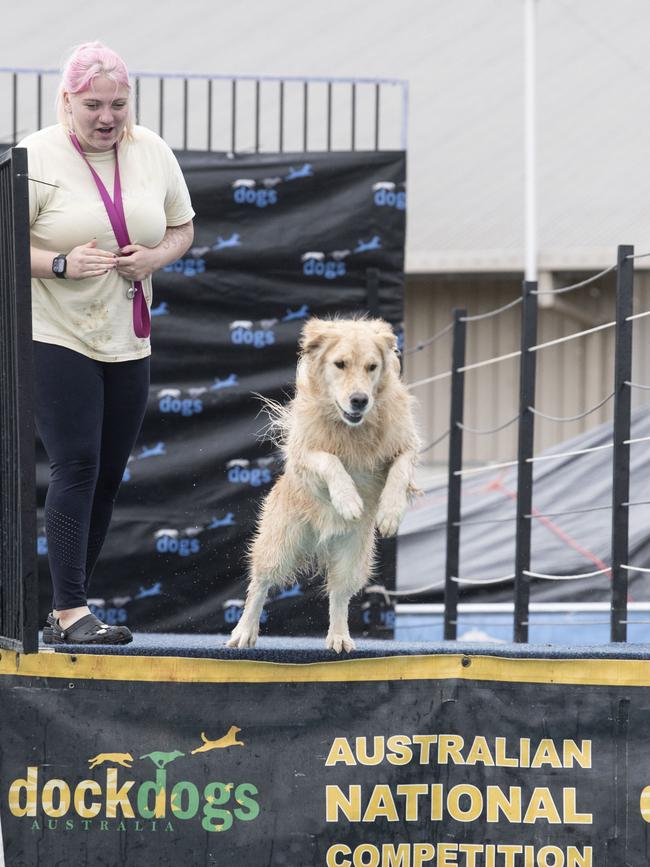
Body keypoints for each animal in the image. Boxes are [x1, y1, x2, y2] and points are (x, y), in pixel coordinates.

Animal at [228, 318, 420, 652]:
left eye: (372, 367)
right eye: (340, 364)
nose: (360, 400)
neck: (352, 428)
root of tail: (320, 539)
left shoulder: (406, 444)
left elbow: (400, 469)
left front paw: (390, 513)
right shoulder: (304, 453)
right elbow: (330, 461)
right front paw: (348, 500)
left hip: (353, 554)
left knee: (339, 594)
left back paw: (339, 637)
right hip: (280, 541)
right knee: (260, 583)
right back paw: (244, 631)